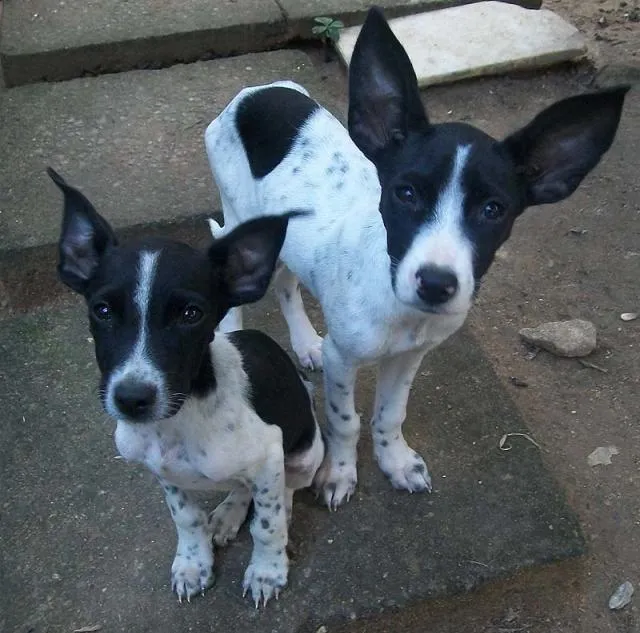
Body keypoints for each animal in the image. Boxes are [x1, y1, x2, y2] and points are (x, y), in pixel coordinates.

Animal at [48, 169, 324, 608]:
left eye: (191, 314)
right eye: (102, 310)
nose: (132, 400)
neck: (181, 418)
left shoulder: (268, 452)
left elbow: (266, 524)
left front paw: (267, 570)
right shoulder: (164, 473)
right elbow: (186, 517)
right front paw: (194, 563)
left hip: (304, 455)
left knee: (285, 492)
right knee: (241, 489)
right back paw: (228, 513)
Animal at [206, 6, 632, 508]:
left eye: (494, 209)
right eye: (405, 193)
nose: (435, 284)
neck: (397, 304)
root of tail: (256, 92)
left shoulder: (411, 356)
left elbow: (390, 414)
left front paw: (394, 461)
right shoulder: (344, 357)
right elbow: (345, 421)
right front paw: (340, 472)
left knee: (289, 283)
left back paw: (306, 342)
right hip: (241, 220)